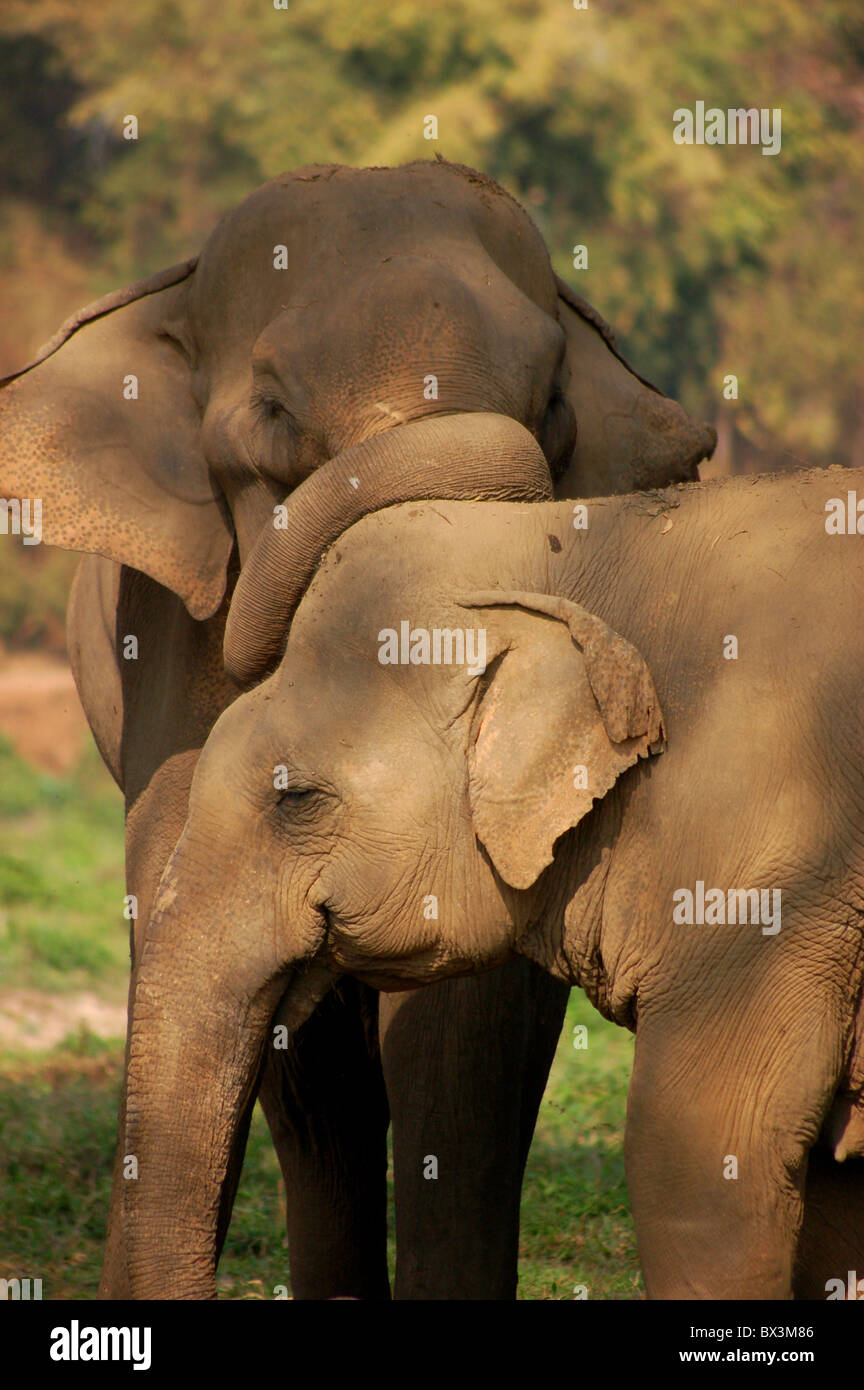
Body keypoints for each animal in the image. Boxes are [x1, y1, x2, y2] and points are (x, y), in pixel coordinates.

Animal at [0, 159, 716, 1299]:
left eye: (554, 406)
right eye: (271, 417)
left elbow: (470, 1020)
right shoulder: (170, 648)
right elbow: (186, 895)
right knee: (317, 1091)